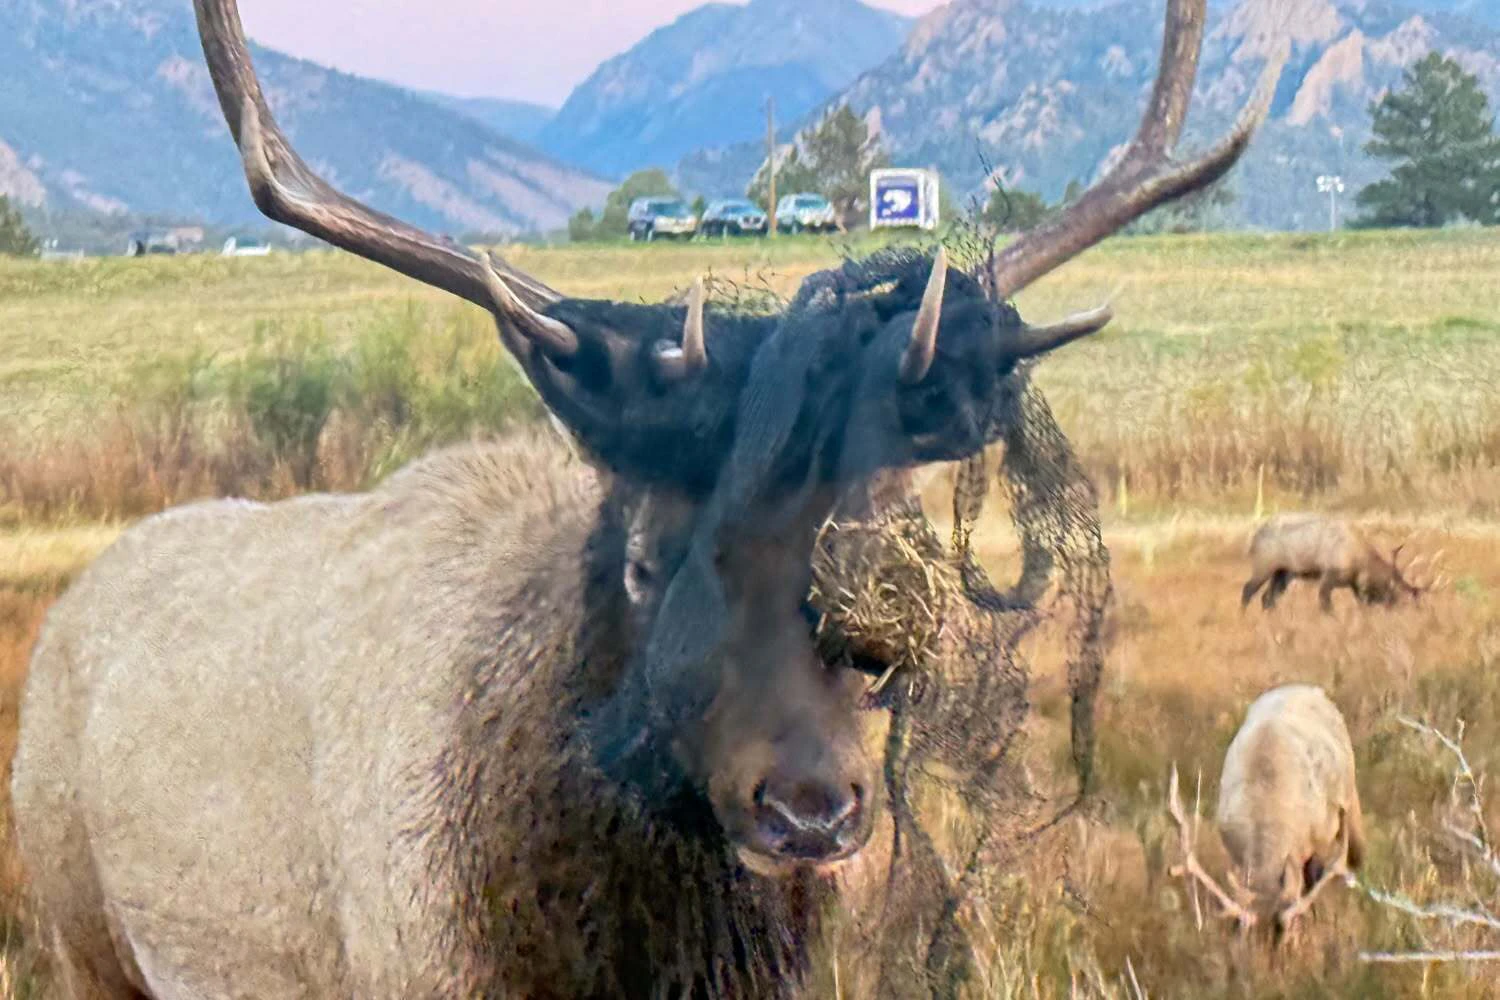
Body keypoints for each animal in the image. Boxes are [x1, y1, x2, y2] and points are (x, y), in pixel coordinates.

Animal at [1240, 512, 1444, 613]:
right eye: (1394, 595)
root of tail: (1253, 538)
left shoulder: (1353, 585)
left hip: (1283, 573)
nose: (1396, 610)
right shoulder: (1330, 575)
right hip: (1264, 565)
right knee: (1248, 589)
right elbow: (1325, 603)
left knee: (1267, 598)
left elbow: (1360, 603)